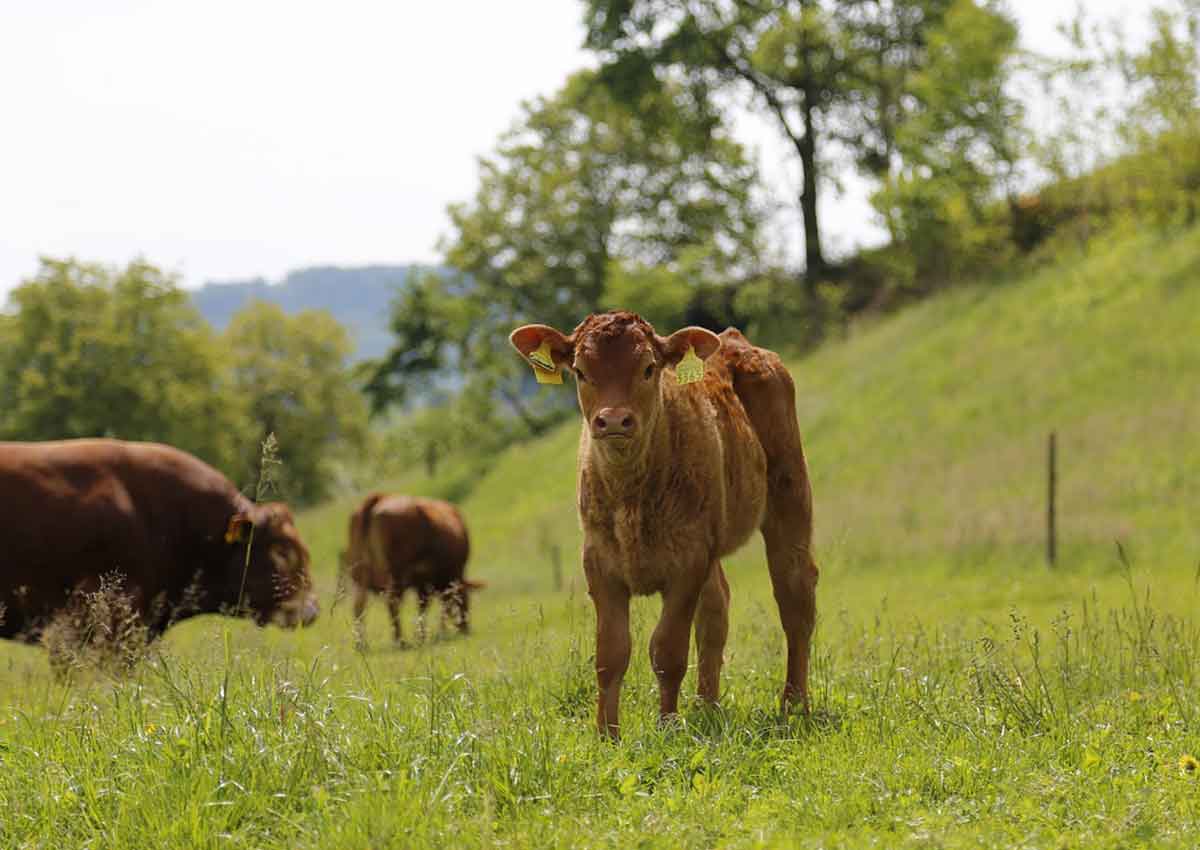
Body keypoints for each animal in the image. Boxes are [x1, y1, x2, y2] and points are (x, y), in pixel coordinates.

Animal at [339, 492, 481, 645]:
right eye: (466, 600)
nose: (465, 629)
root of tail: (381, 496)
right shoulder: (428, 580)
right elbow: (427, 606)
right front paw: (424, 636)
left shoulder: (423, 582)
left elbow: (424, 607)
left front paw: (423, 635)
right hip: (396, 574)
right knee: (392, 603)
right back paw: (400, 642)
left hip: (360, 575)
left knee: (359, 607)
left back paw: (362, 644)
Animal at [510, 311, 818, 738]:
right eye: (580, 371)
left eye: (648, 368)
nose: (613, 420)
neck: (631, 497)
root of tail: (735, 342)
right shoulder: (600, 563)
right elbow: (611, 654)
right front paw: (607, 735)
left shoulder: (687, 563)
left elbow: (667, 650)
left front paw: (668, 728)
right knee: (717, 608)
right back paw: (707, 707)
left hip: (790, 490)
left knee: (795, 595)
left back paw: (794, 704)